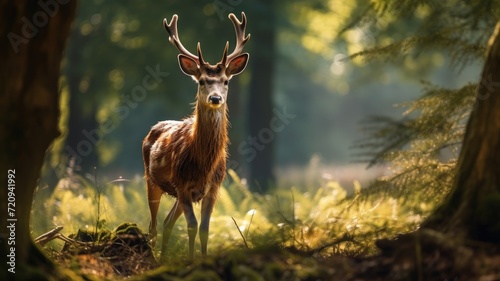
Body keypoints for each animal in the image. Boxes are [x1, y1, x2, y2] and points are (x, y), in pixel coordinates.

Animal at [142, 12, 250, 260]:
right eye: (202, 81)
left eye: (226, 81)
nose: (215, 98)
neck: (203, 163)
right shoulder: (182, 184)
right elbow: (191, 226)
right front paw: (191, 261)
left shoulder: (213, 187)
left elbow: (204, 228)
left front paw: (202, 259)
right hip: (150, 179)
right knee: (152, 226)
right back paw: (155, 258)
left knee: (167, 222)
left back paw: (163, 257)